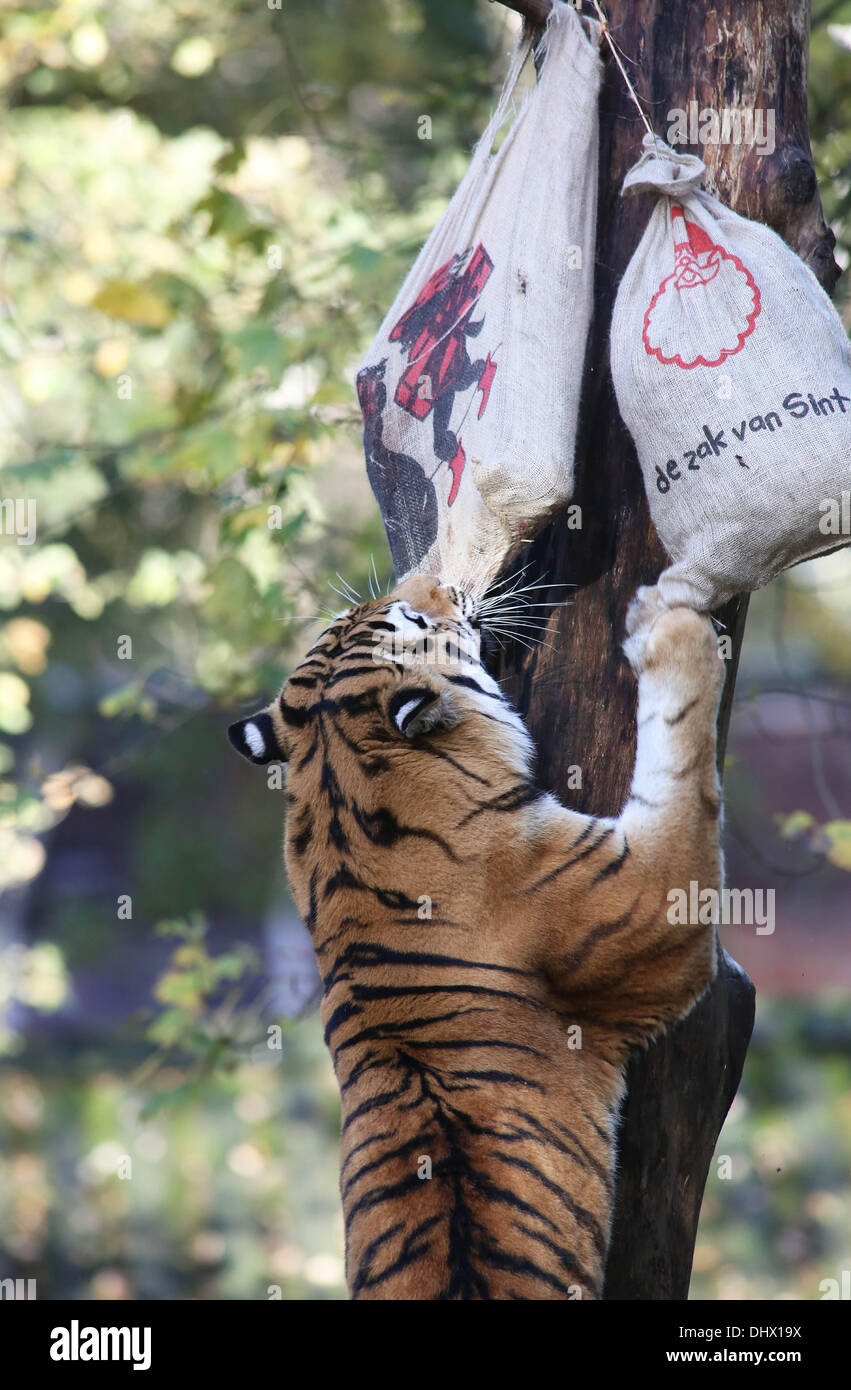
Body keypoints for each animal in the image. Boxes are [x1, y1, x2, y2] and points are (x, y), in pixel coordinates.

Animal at [228, 569, 723, 1295]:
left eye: (358, 614)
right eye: (411, 618)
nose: (438, 578)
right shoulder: (659, 900)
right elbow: (684, 754)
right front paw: (669, 625)